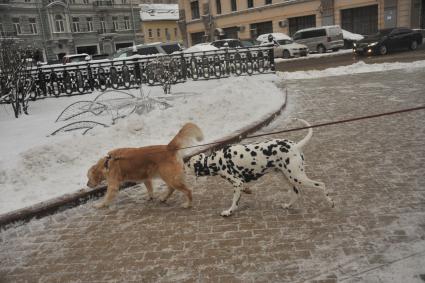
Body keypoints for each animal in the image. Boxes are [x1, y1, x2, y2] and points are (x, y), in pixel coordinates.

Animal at [187, 118, 332, 216]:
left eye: (188, 164)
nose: (184, 162)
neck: (216, 160)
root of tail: (296, 146)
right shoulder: (240, 183)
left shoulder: (237, 183)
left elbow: (234, 202)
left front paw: (229, 211)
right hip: (287, 177)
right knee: (296, 193)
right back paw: (287, 205)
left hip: (297, 177)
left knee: (321, 184)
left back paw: (330, 201)